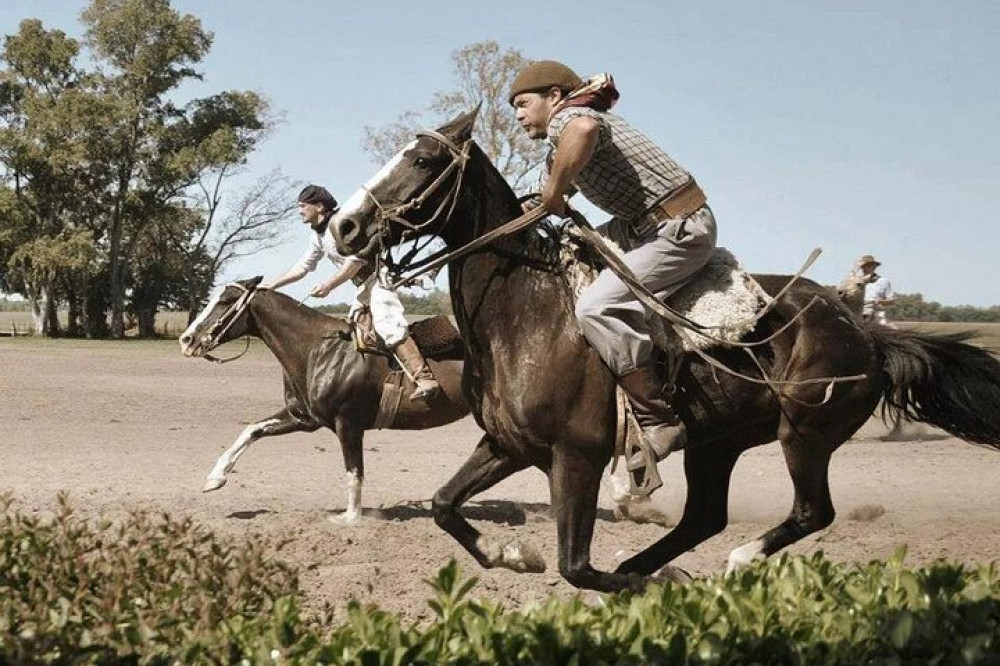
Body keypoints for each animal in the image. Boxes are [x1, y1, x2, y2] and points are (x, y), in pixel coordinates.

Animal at [179, 278, 468, 520]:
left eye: (226, 301)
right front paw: (215, 478)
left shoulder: (347, 424)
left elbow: (354, 471)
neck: (319, 350)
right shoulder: (303, 418)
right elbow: (252, 430)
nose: (187, 339)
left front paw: (351, 518)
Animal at [330, 109, 1000, 592]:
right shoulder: (506, 444)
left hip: (804, 434)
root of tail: (866, 333)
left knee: (811, 513)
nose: (345, 226)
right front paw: (512, 553)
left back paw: (734, 562)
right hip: (718, 443)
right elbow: (445, 505)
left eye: (422, 159)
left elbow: (576, 567)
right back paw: (661, 564)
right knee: (704, 516)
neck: (525, 314)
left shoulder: (576, 455)